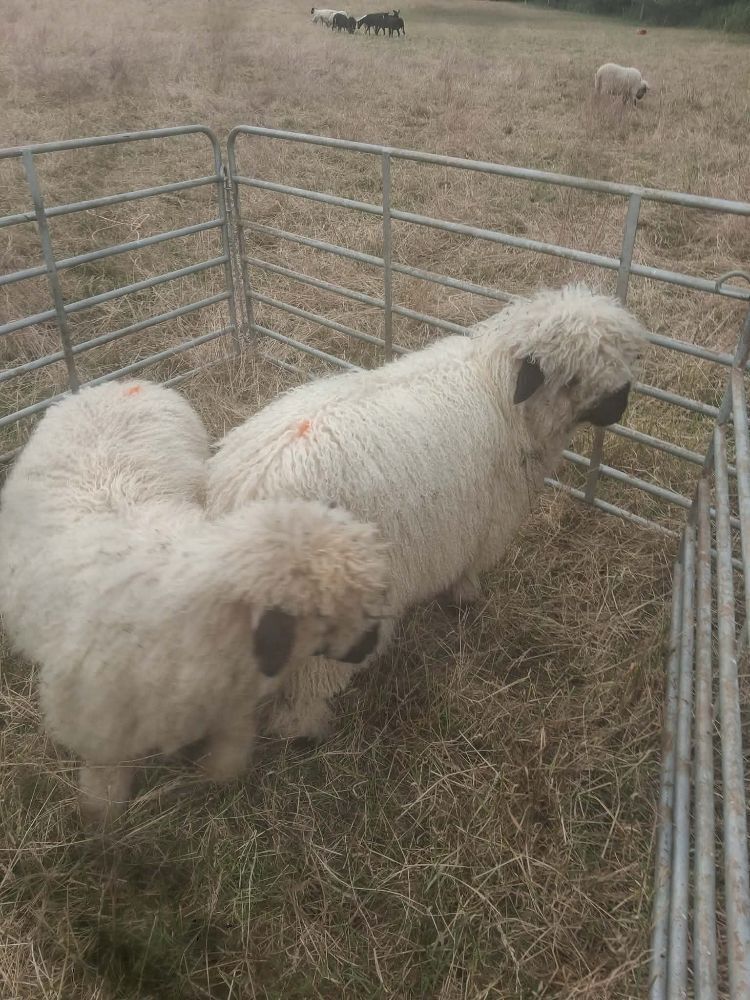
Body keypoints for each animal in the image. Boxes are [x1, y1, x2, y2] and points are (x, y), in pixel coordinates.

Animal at [0, 380, 389, 823]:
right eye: (326, 614)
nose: (369, 648)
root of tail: (113, 385)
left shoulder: (230, 699)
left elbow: (230, 751)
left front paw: (216, 779)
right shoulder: (99, 717)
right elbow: (106, 775)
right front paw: (100, 817)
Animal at [207, 285, 646, 742]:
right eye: (572, 379)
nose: (620, 405)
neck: (498, 391)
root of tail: (245, 492)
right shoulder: (483, 524)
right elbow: (468, 572)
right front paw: (466, 596)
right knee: (309, 681)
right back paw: (308, 729)